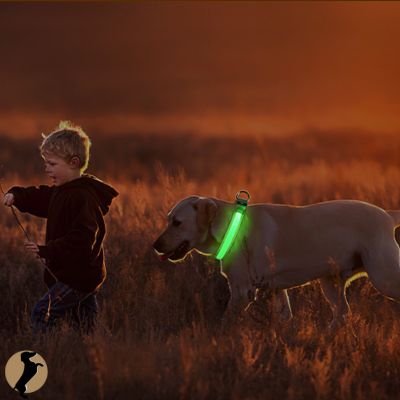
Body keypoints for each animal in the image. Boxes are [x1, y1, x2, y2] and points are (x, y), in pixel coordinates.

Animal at [153, 195, 400, 330]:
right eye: (168, 219)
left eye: (177, 222)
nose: (155, 245)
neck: (232, 226)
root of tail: (387, 215)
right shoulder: (276, 290)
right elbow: (285, 317)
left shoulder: (242, 291)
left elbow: (225, 321)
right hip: (330, 282)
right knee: (342, 314)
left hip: (384, 275)